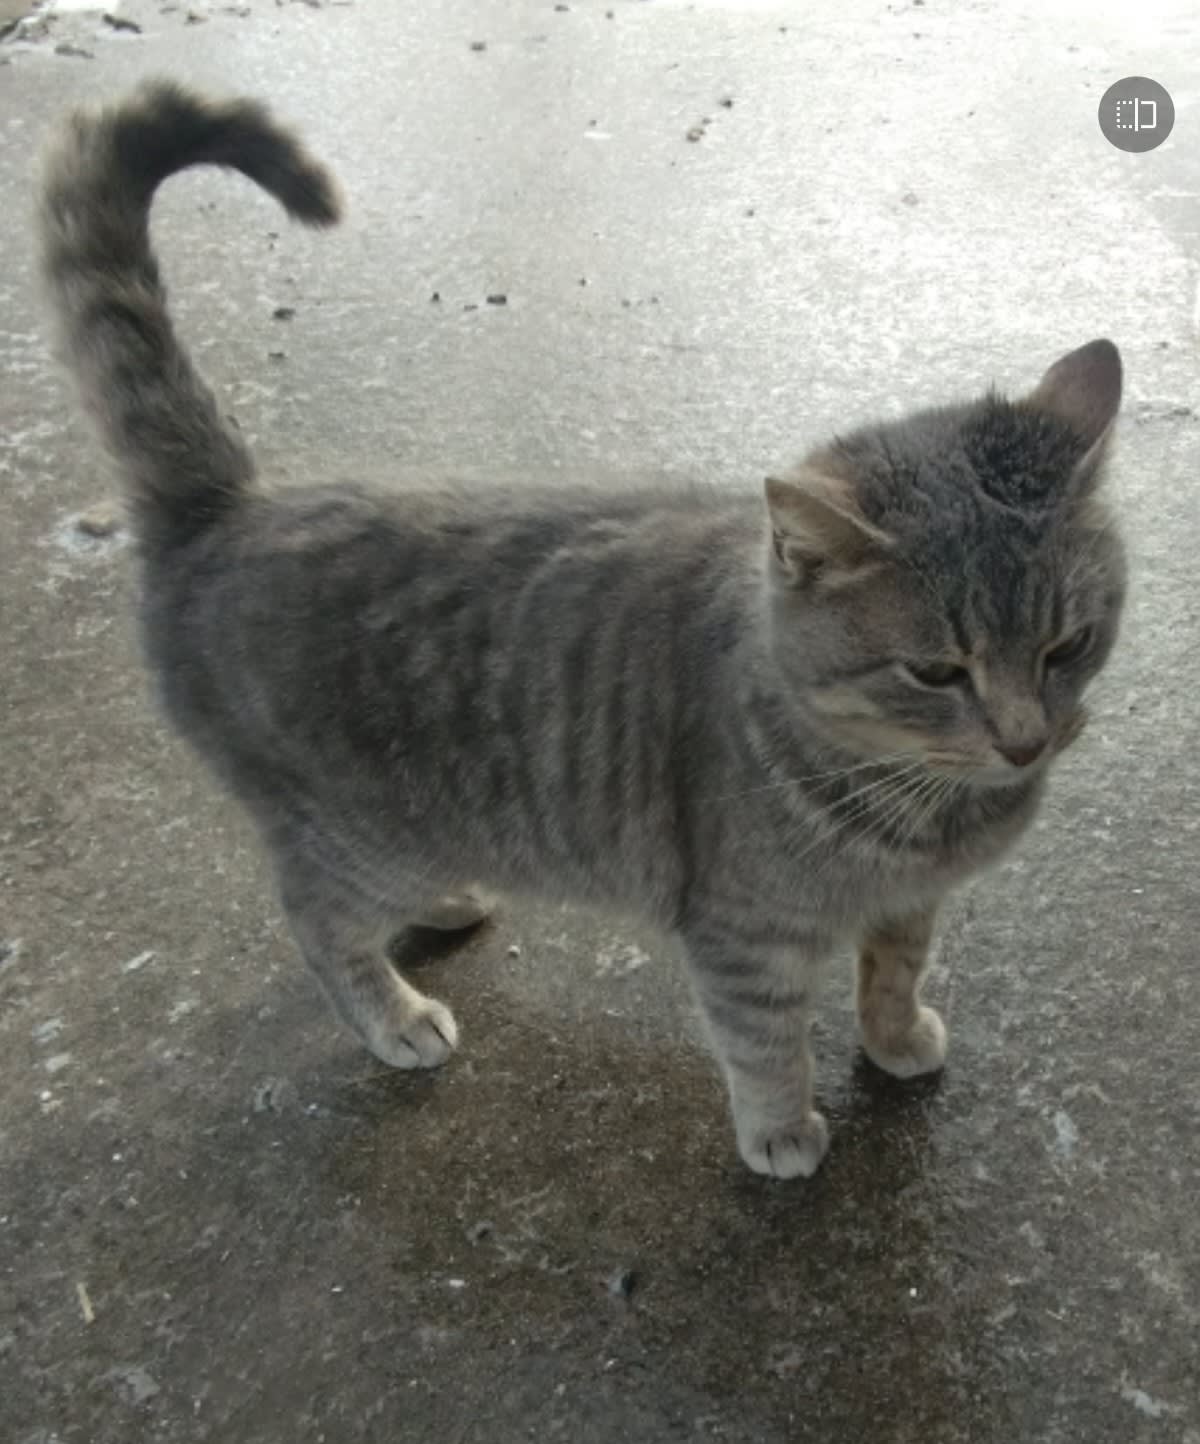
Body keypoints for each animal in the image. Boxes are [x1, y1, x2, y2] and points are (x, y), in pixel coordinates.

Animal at [39, 80, 1126, 1180]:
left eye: (1068, 644)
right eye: (937, 670)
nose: (1026, 740)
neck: (914, 803)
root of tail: (228, 505)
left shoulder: (910, 903)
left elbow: (896, 970)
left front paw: (896, 1036)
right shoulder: (746, 937)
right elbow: (765, 1043)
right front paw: (781, 1129)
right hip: (357, 838)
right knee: (317, 920)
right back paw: (395, 1016)